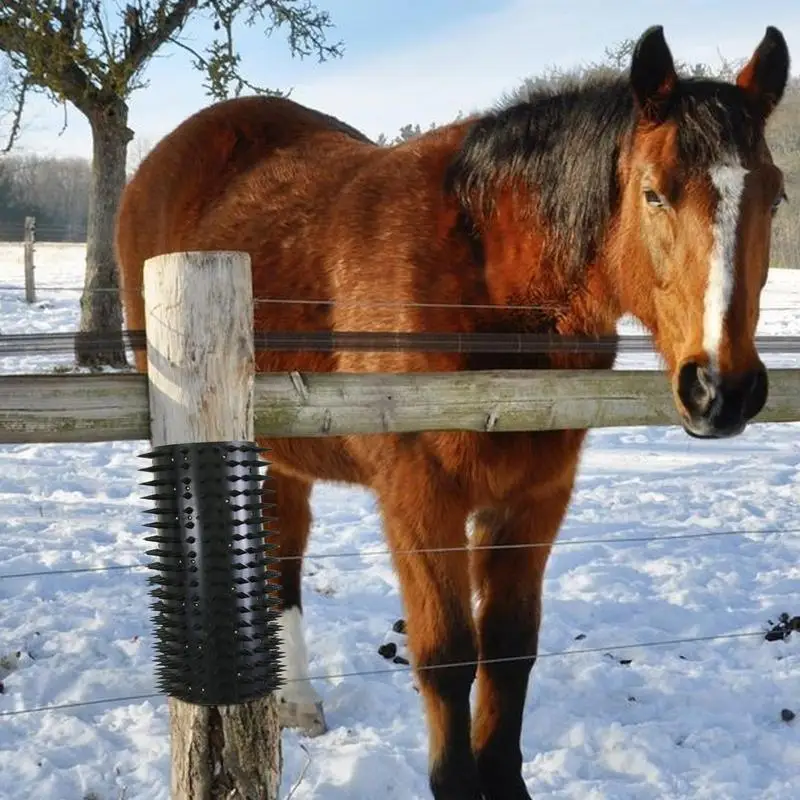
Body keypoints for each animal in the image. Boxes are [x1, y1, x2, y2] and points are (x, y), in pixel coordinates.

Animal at [115, 25, 792, 800]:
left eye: (775, 196)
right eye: (654, 193)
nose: (722, 387)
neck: (489, 288)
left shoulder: (534, 499)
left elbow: (508, 650)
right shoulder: (420, 501)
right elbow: (446, 658)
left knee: (282, 532)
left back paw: (296, 700)